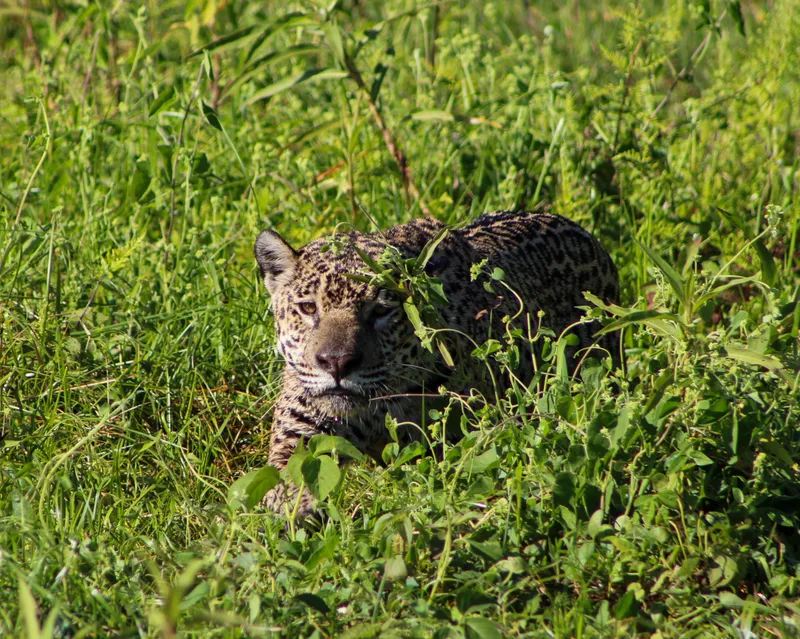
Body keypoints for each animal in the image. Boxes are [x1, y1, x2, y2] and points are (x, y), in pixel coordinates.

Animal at [254, 208, 620, 517]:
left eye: (382, 310)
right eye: (308, 308)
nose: (337, 363)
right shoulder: (301, 427)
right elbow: (291, 473)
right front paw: (292, 508)